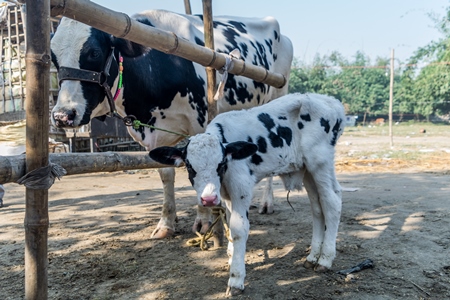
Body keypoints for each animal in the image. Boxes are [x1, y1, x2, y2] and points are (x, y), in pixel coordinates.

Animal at [49, 9, 294, 238]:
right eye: (53, 58)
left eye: (94, 52)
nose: (62, 115)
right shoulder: (153, 136)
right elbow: (166, 174)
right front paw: (166, 223)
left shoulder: (200, 123)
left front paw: (204, 221)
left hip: (276, 95)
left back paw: (266, 202)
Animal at [150, 93, 344, 296]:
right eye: (188, 165)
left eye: (220, 164)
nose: (209, 199)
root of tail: (332, 102)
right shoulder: (226, 195)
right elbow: (228, 222)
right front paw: (231, 257)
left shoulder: (241, 187)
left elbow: (238, 228)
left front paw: (236, 277)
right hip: (306, 169)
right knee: (317, 207)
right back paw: (313, 256)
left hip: (319, 162)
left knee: (332, 202)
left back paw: (325, 259)